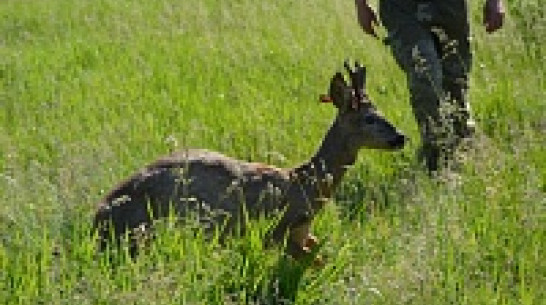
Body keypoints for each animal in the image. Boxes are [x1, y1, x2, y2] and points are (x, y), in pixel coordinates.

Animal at [93, 61, 404, 262]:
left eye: (381, 112)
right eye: (370, 118)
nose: (401, 137)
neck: (304, 184)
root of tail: (97, 218)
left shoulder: (302, 232)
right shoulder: (280, 230)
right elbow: (313, 260)